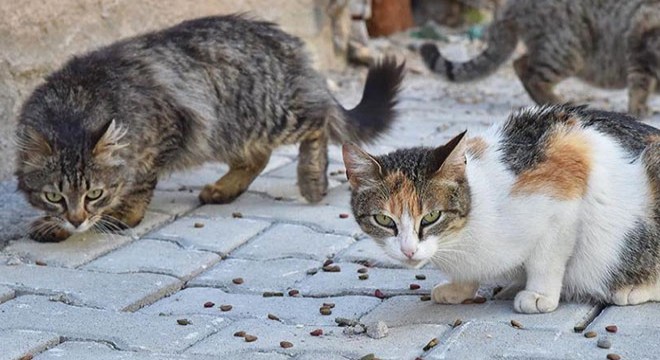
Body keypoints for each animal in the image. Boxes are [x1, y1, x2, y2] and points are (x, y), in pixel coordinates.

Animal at [15, 15, 404, 243]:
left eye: (94, 194)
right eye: (54, 196)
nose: (77, 220)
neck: (76, 102)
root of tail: (288, 44)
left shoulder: (167, 130)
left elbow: (138, 186)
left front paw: (121, 215)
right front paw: (56, 223)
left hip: (270, 114)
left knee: (318, 122)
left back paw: (311, 180)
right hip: (229, 130)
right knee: (259, 156)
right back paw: (223, 190)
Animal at [342, 105, 660, 314]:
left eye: (431, 216)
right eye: (383, 220)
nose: (408, 251)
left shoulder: (566, 177)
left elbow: (547, 257)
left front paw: (539, 294)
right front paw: (460, 288)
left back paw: (632, 290)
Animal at [420, 0, 660, 118]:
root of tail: (509, 6)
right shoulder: (642, 36)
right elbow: (640, 82)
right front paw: (639, 108)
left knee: (522, 63)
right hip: (568, 50)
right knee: (529, 72)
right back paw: (557, 101)